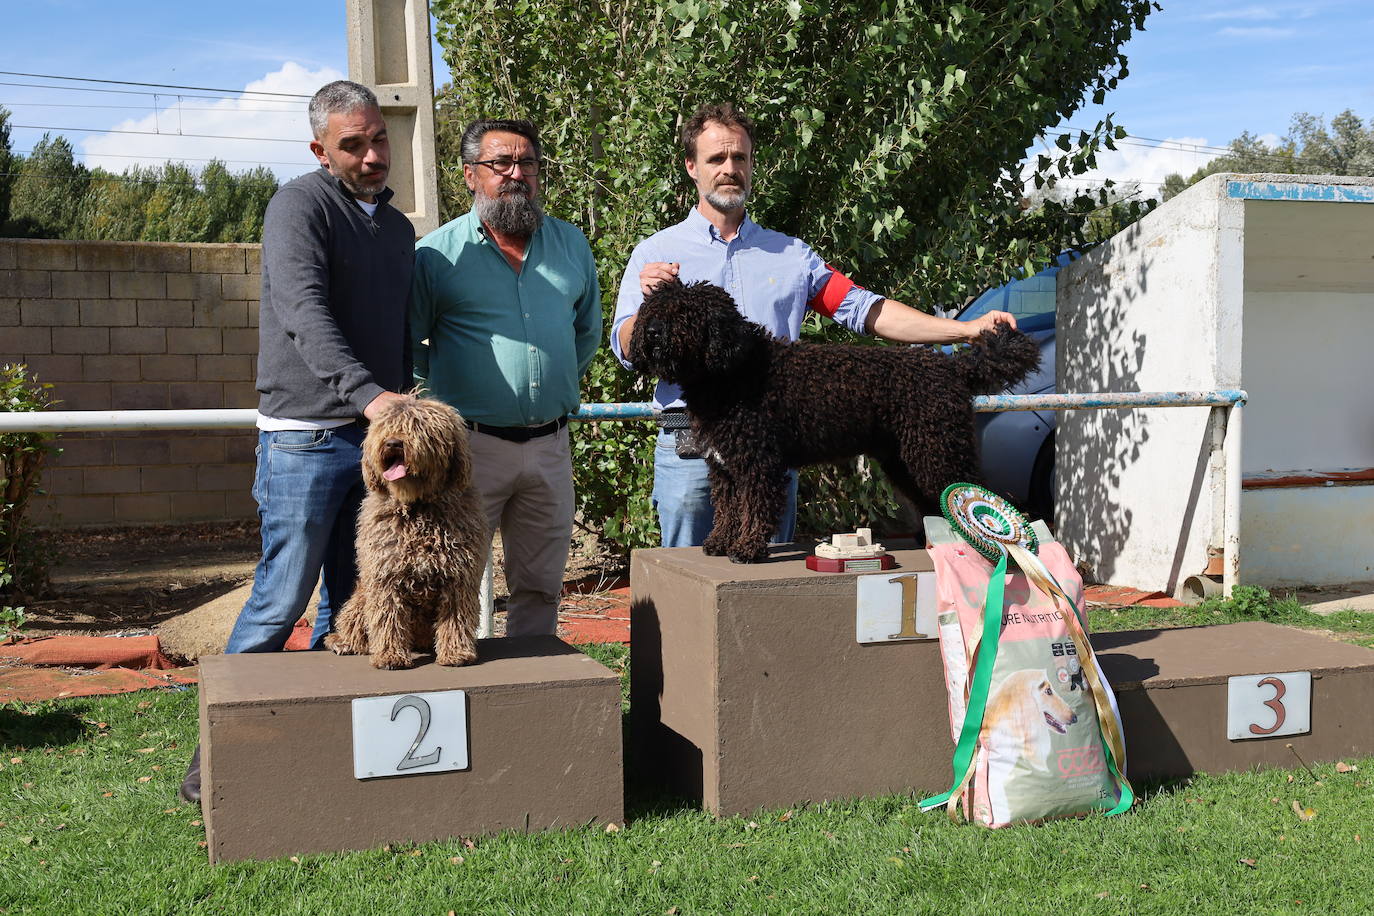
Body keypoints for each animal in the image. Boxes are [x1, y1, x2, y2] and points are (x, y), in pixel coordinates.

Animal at [324, 398, 491, 670]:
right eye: (386, 426)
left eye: (419, 427)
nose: (393, 442)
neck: (417, 507)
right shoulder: (385, 577)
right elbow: (388, 619)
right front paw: (390, 655)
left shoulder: (459, 578)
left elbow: (455, 619)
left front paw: (456, 653)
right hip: (361, 597)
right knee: (352, 624)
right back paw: (343, 642)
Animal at [632, 281, 1038, 565]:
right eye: (652, 309)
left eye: (687, 313)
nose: (652, 332)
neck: (735, 370)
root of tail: (952, 367)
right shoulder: (725, 467)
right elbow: (729, 510)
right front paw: (719, 542)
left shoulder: (757, 464)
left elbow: (755, 510)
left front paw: (747, 549)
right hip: (907, 459)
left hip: (938, 451)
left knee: (974, 492)